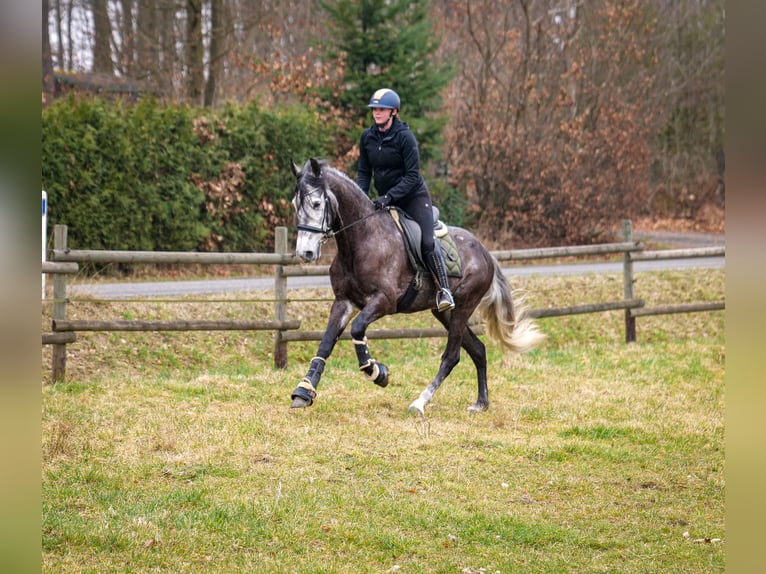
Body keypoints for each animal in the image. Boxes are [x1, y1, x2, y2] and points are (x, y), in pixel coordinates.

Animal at [288, 160, 544, 416]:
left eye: (316, 203)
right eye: (294, 205)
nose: (305, 253)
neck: (362, 241)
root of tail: (485, 252)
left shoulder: (384, 301)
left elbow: (358, 328)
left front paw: (376, 372)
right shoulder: (344, 301)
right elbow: (326, 344)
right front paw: (304, 391)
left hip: (464, 306)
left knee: (452, 356)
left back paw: (420, 402)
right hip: (445, 313)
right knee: (478, 350)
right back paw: (481, 402)